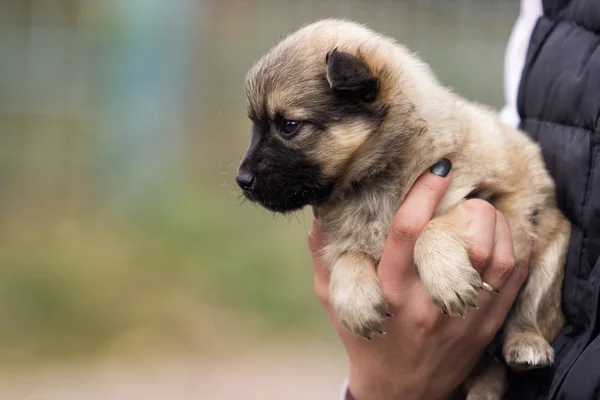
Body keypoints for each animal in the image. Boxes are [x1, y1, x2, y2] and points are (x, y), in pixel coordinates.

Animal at [237, 19, 568, 400]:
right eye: (255, 124)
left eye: (289, 126)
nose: (241, 180)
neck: (373, 179)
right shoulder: (344, 234)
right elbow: (347, 255)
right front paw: (356, 300)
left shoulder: (497, 202)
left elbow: (434, 227)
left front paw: (447, 277)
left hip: (550, 246)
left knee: (529, 313)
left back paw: (525, 343)